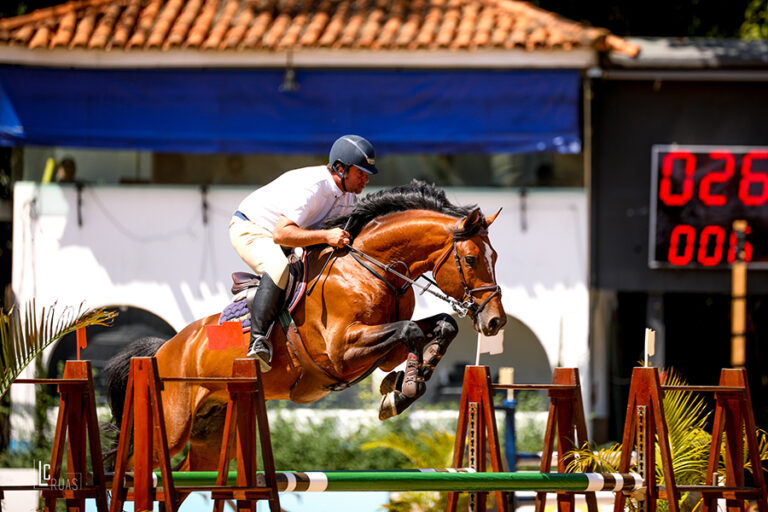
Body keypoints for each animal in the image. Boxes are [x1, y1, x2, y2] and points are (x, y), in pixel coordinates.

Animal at [105, 181, 508, 472]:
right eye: (471, 259)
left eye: (495, 256)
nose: (495, 321)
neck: (371, 268)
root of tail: (163, 349)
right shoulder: (342, 350)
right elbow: (409, 330)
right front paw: (403, 388)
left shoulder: (381, 350)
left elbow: (441, 326)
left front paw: (401, 386)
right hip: (171, 424)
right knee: (133, 465)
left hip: (212, 434)